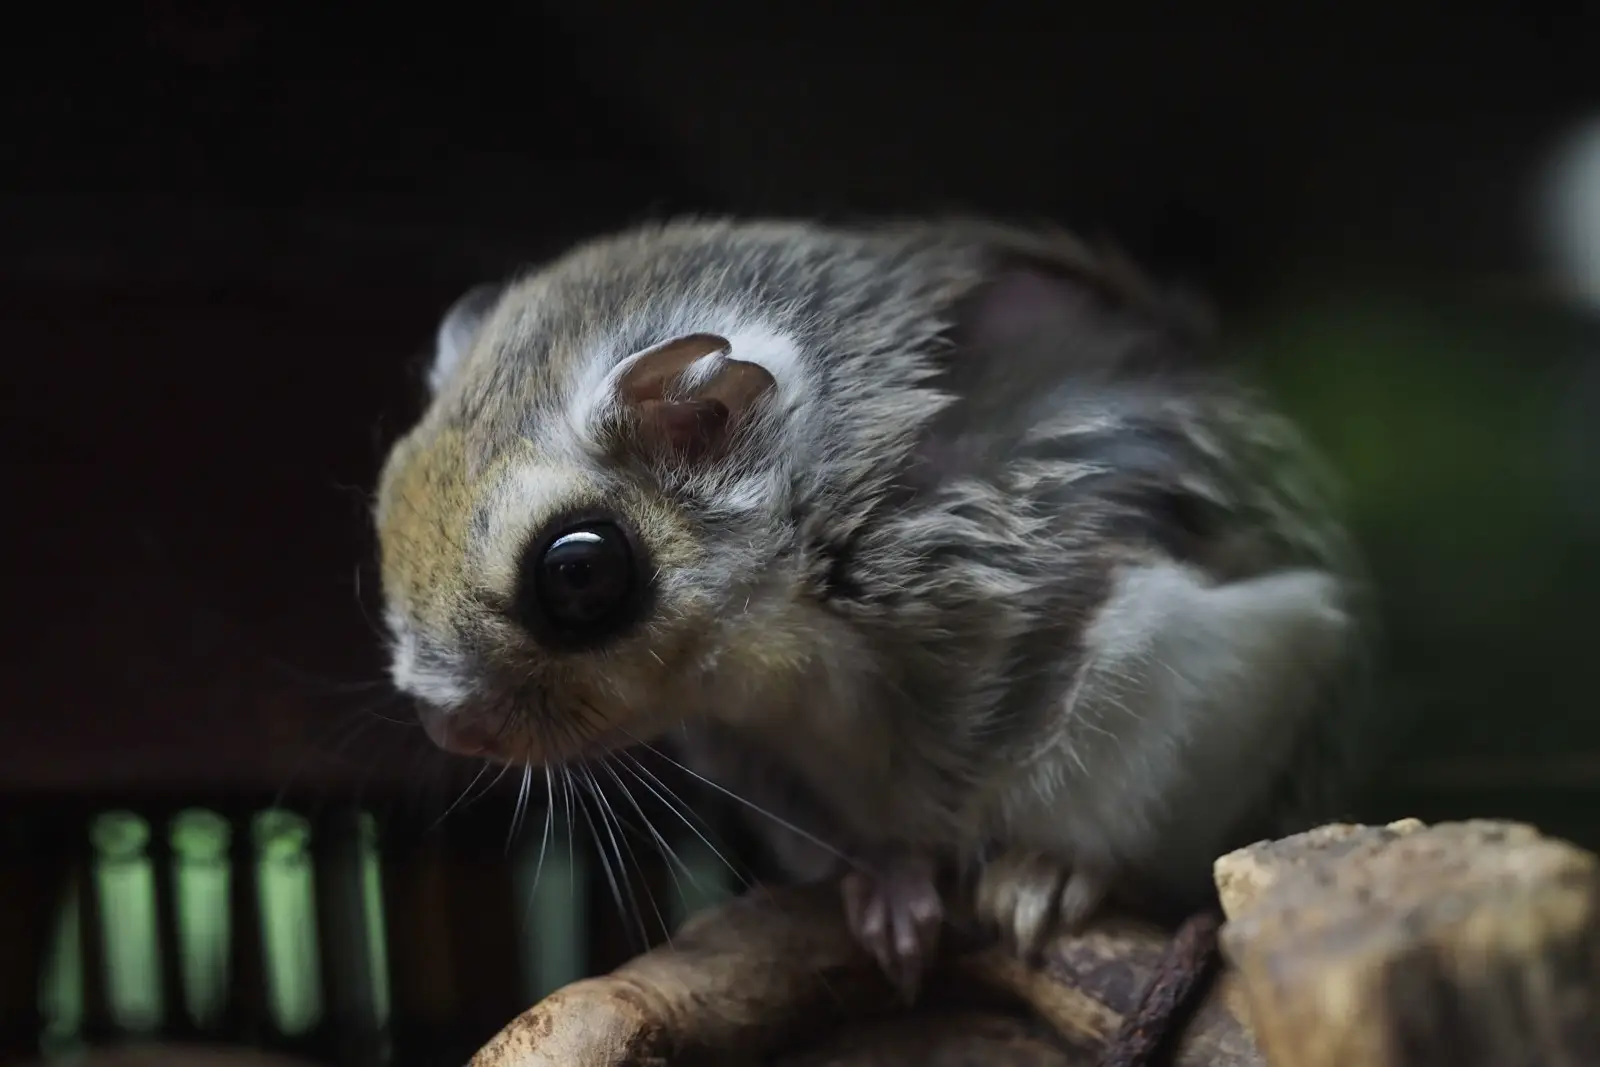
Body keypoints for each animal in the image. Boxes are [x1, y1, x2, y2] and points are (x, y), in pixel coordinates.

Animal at [373, 217, 1377, 1000]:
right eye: (387, 504)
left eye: (579, 572)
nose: (448, 725)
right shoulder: (759, 759)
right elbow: (866, 835)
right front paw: (892, 888)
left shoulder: (1167, 641)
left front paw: (1044, 869)